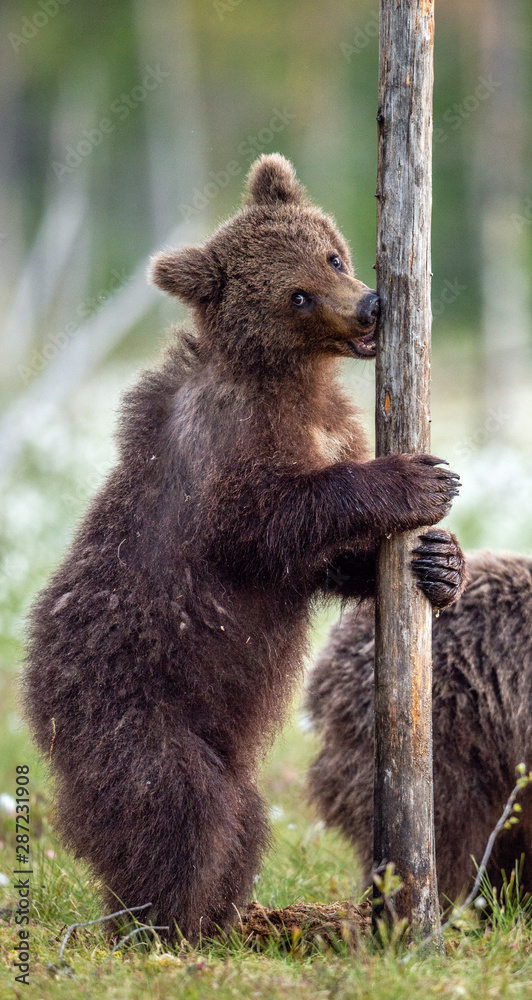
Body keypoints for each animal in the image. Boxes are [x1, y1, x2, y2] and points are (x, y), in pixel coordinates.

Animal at [23, 154, 463, 943]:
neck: (294, 379)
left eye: (331, 255)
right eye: (296, 295)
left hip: (214, 743)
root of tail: (34, 691)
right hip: (125, 703)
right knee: (176, 803)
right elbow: (268, 522)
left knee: (242, 814)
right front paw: (416, 478)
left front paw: (439, 562)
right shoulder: (227, 457)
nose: (370, 307)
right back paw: (161, 923)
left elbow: (322, 563)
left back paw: (236, 914)